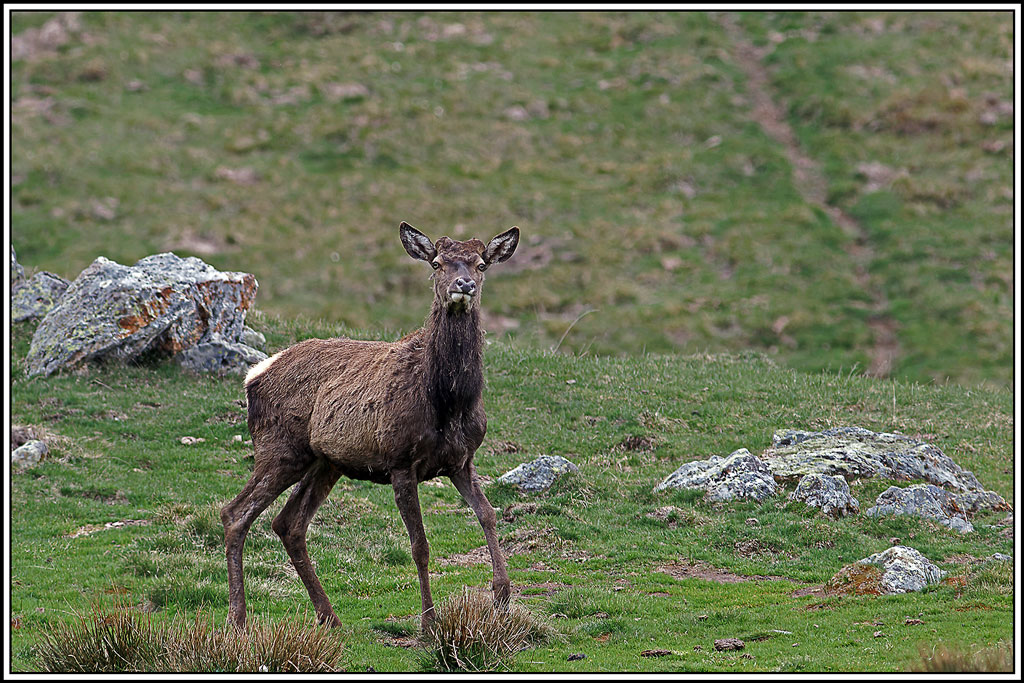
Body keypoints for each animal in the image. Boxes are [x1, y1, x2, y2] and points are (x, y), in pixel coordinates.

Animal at [220, 222, 519, 632]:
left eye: (481, 264)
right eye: (437, 263)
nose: (464, 284)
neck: (449, 401)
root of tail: (255, 374)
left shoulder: (462, 460)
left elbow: (488, 515)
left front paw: (503, 596)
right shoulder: (400, 460)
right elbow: (420, 545)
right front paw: (428, 623)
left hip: (325, 461)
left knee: (288, 523)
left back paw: (329, 616)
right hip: (280, 448)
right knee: (235, 514)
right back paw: (238, 618)